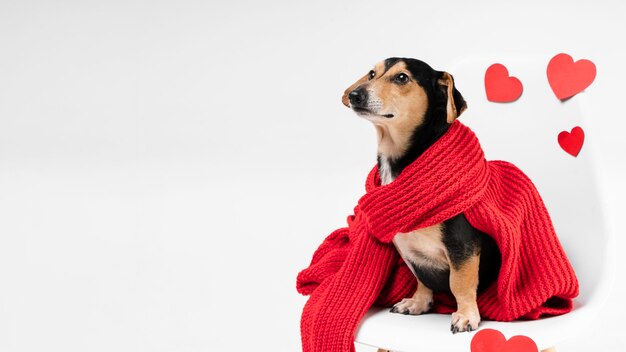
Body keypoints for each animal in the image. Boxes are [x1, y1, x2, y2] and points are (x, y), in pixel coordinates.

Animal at [338, 58, 500, 336]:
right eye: (371, 73)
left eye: (402, 77)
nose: (355, 95)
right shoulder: (410, 251)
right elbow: (422, 278)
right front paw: (419, 302)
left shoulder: (463, 244)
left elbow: (460, 282)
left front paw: (466, 315)